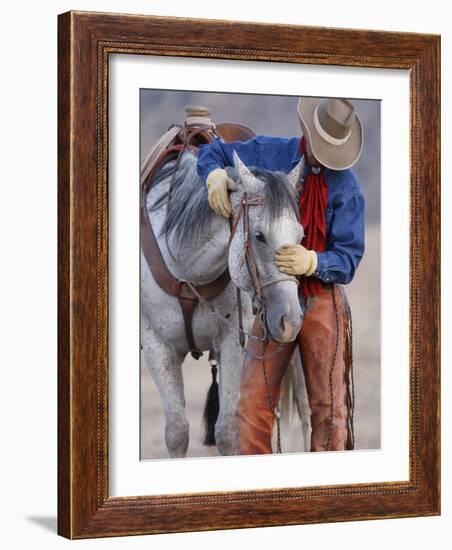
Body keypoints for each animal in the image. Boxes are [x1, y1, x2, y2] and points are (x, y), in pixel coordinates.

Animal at [141, 150, 308, 458]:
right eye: (259, 236)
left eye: (300, 237)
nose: (290, 321)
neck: (187, 271)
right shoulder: (157, 346)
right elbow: (177, 432)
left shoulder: (232, 342)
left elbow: (227, 431)